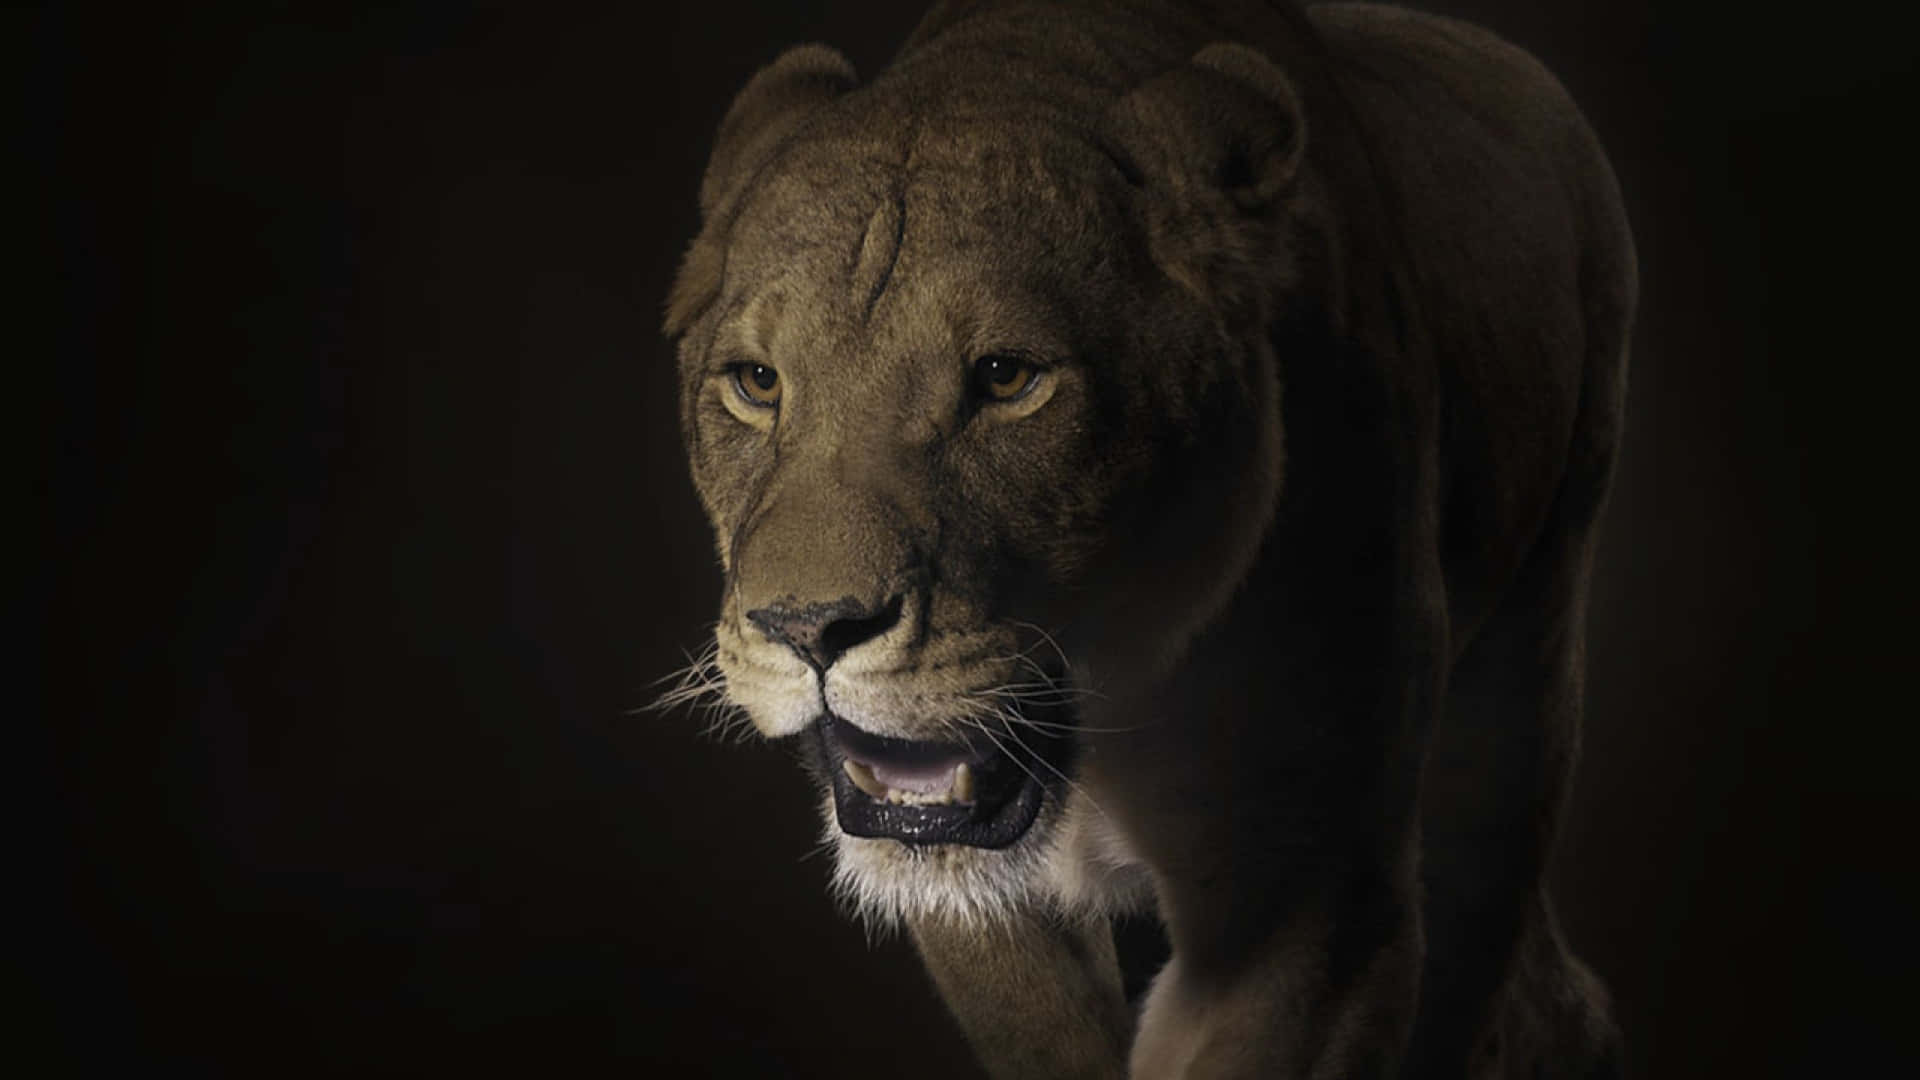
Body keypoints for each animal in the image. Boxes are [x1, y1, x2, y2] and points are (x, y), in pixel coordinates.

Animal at [660, 1, 1634, 1076]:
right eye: (756, 382)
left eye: (1007, 378)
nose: (808, 629)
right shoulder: (996, 931)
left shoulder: (1310, 908)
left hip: (1526, 672)